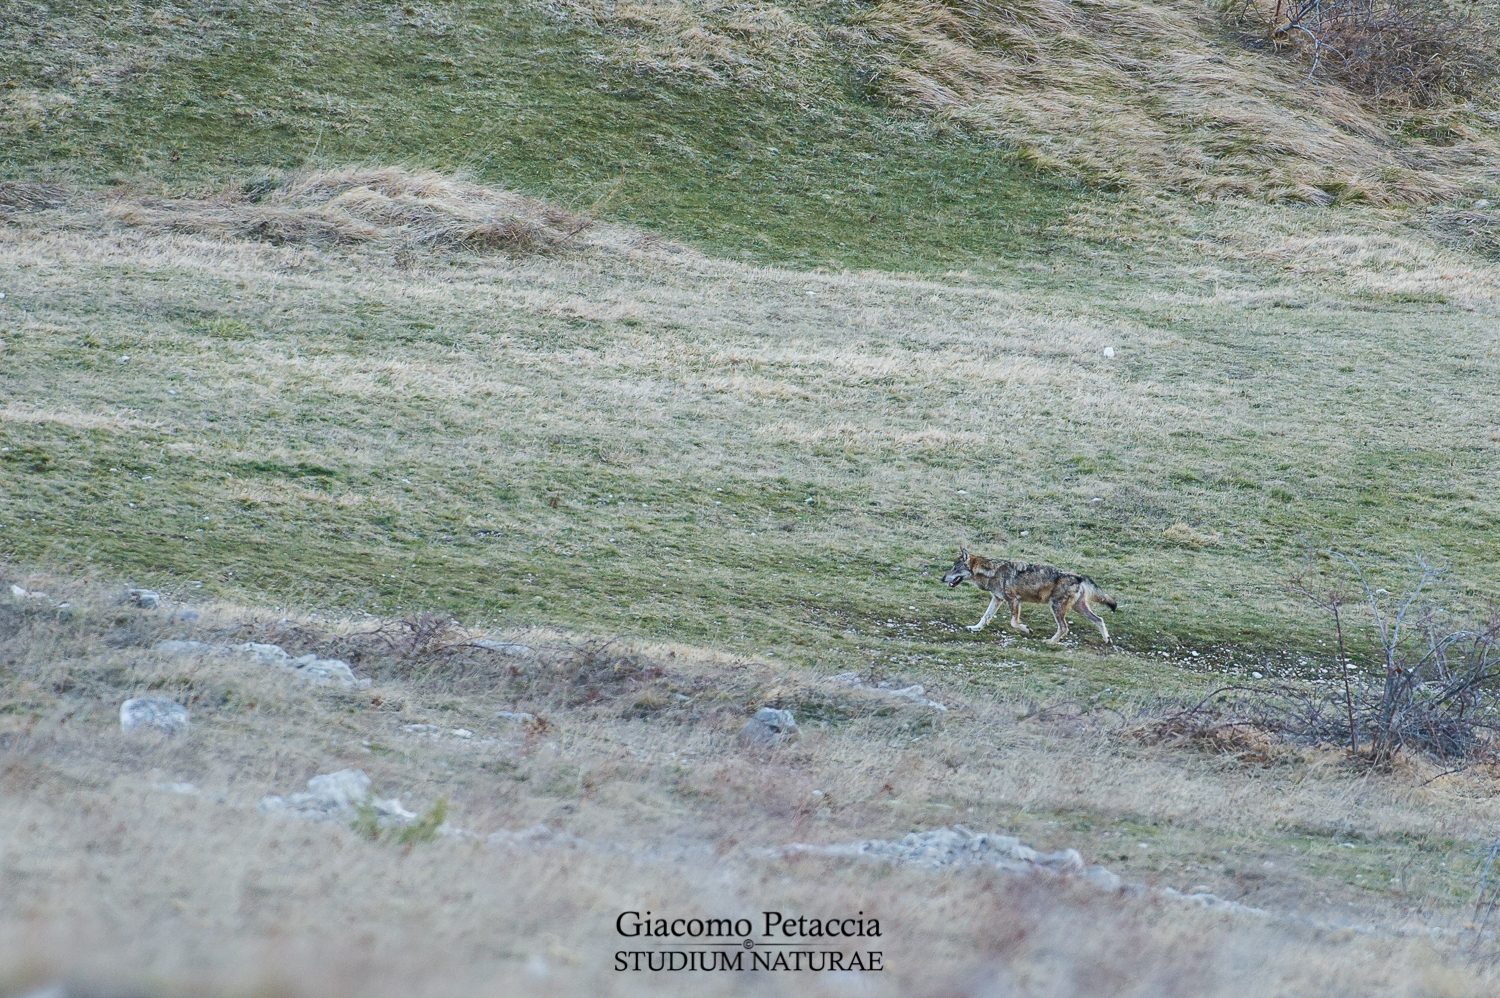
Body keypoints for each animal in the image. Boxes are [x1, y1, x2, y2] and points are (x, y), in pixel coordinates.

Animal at [941, 549, 1118, 643]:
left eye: (955, 569)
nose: (942, 579)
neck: (992, 572)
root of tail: (1079, 576)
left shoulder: (1014, 600)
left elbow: (1013, 622)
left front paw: (1027, 629)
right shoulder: (997, 599)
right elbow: (985, 617)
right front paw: (975, 628)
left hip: (1056, 607)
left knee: (1064, 628)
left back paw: (1050, 642)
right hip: (1078, 608)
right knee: (1099, 619)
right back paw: (1107, 640)